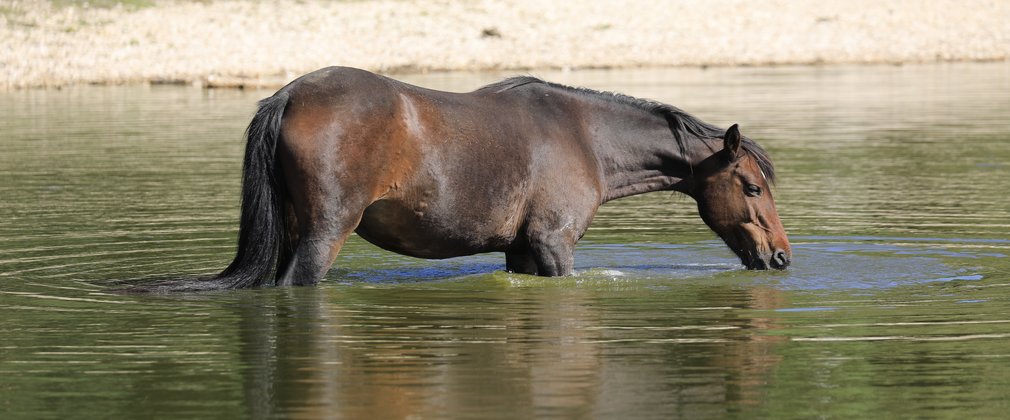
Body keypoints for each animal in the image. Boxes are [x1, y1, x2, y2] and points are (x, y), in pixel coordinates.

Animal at [146, 67, 791, 290]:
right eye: (752, 188)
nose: (782, 257)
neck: (585, 135)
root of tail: (289, 94)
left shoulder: (522, 250)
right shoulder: (554, 245)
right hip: (322, 237)